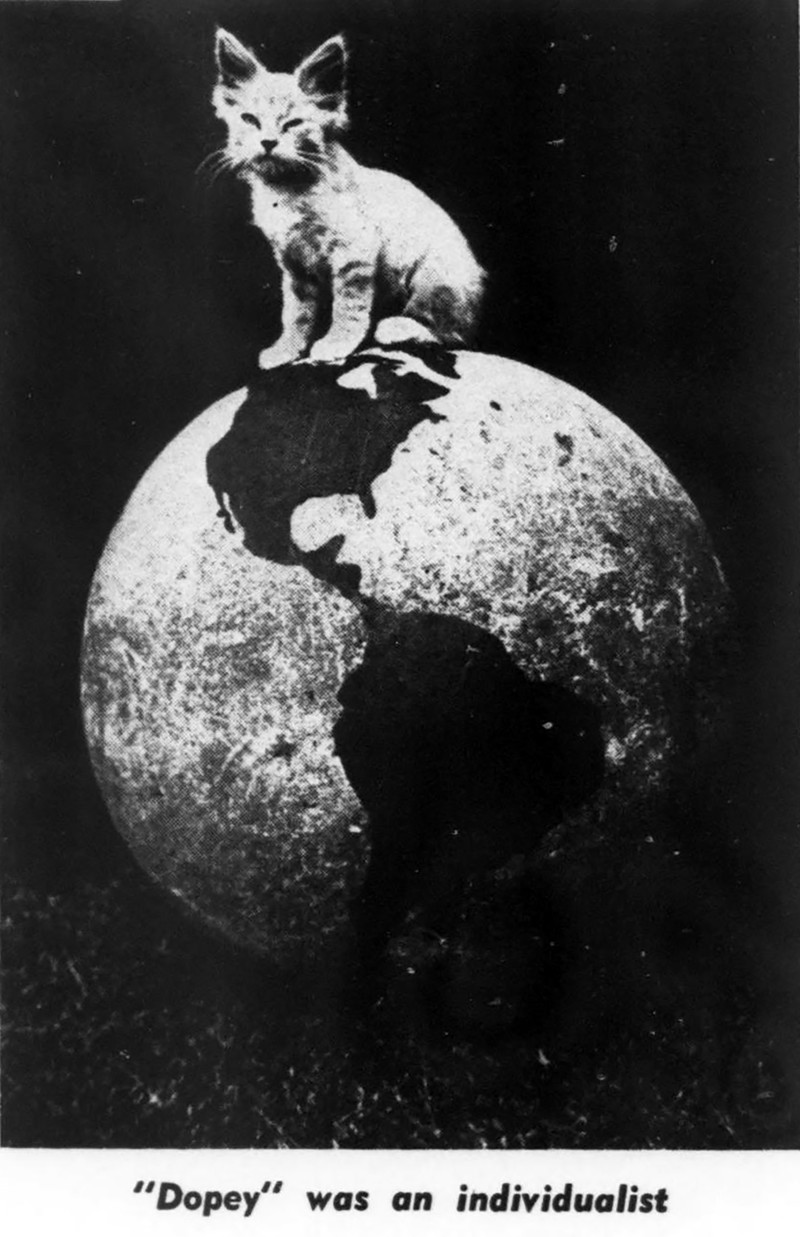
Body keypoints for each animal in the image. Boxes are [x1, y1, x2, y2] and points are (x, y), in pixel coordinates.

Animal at [212, 28, 485, 369]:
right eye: (250, 120)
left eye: (292, 124)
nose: (268, 142)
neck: (288, 188)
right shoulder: (294, 264)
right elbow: (296, 313)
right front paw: (288, 349)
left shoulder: (355, 250)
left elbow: (349, 306)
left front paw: (337, 344)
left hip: (435, 271)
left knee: (451, 332)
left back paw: (399, 327)